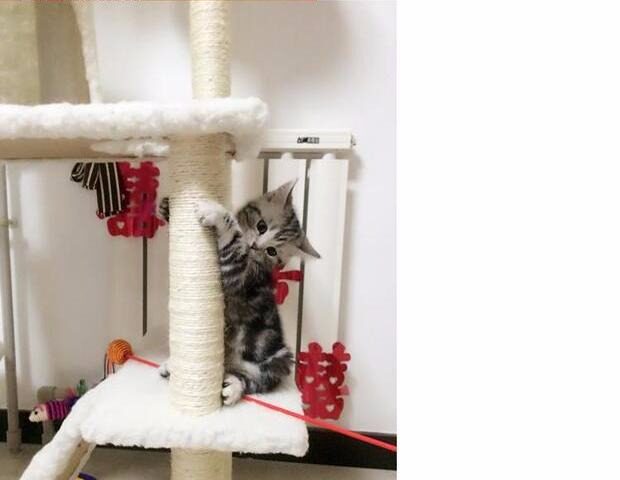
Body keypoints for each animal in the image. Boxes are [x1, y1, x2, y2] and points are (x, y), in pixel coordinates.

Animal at [159, 180, 320, 406]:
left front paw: (218, 215)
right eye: (261, 226)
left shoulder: (241, 277)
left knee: (258, 380)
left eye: (271, 251)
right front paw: (167, 207)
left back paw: (234, 386)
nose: (254, 245)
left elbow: (232, 242)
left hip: (279, 357)